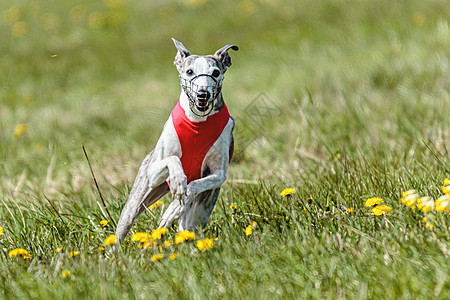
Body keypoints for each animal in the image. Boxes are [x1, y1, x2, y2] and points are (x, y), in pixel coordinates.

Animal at [115, 38, 239, 243]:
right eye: (189, 71)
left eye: (216, 72)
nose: (203, 94)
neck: (198, 122)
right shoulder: (153, 170)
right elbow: (173, 160)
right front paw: (179, 180)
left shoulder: (219, 174)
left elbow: (195, 184)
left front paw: (175, 206)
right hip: (139, 197)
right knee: (121, 230)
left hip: (199, 213)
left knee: (187, 225)